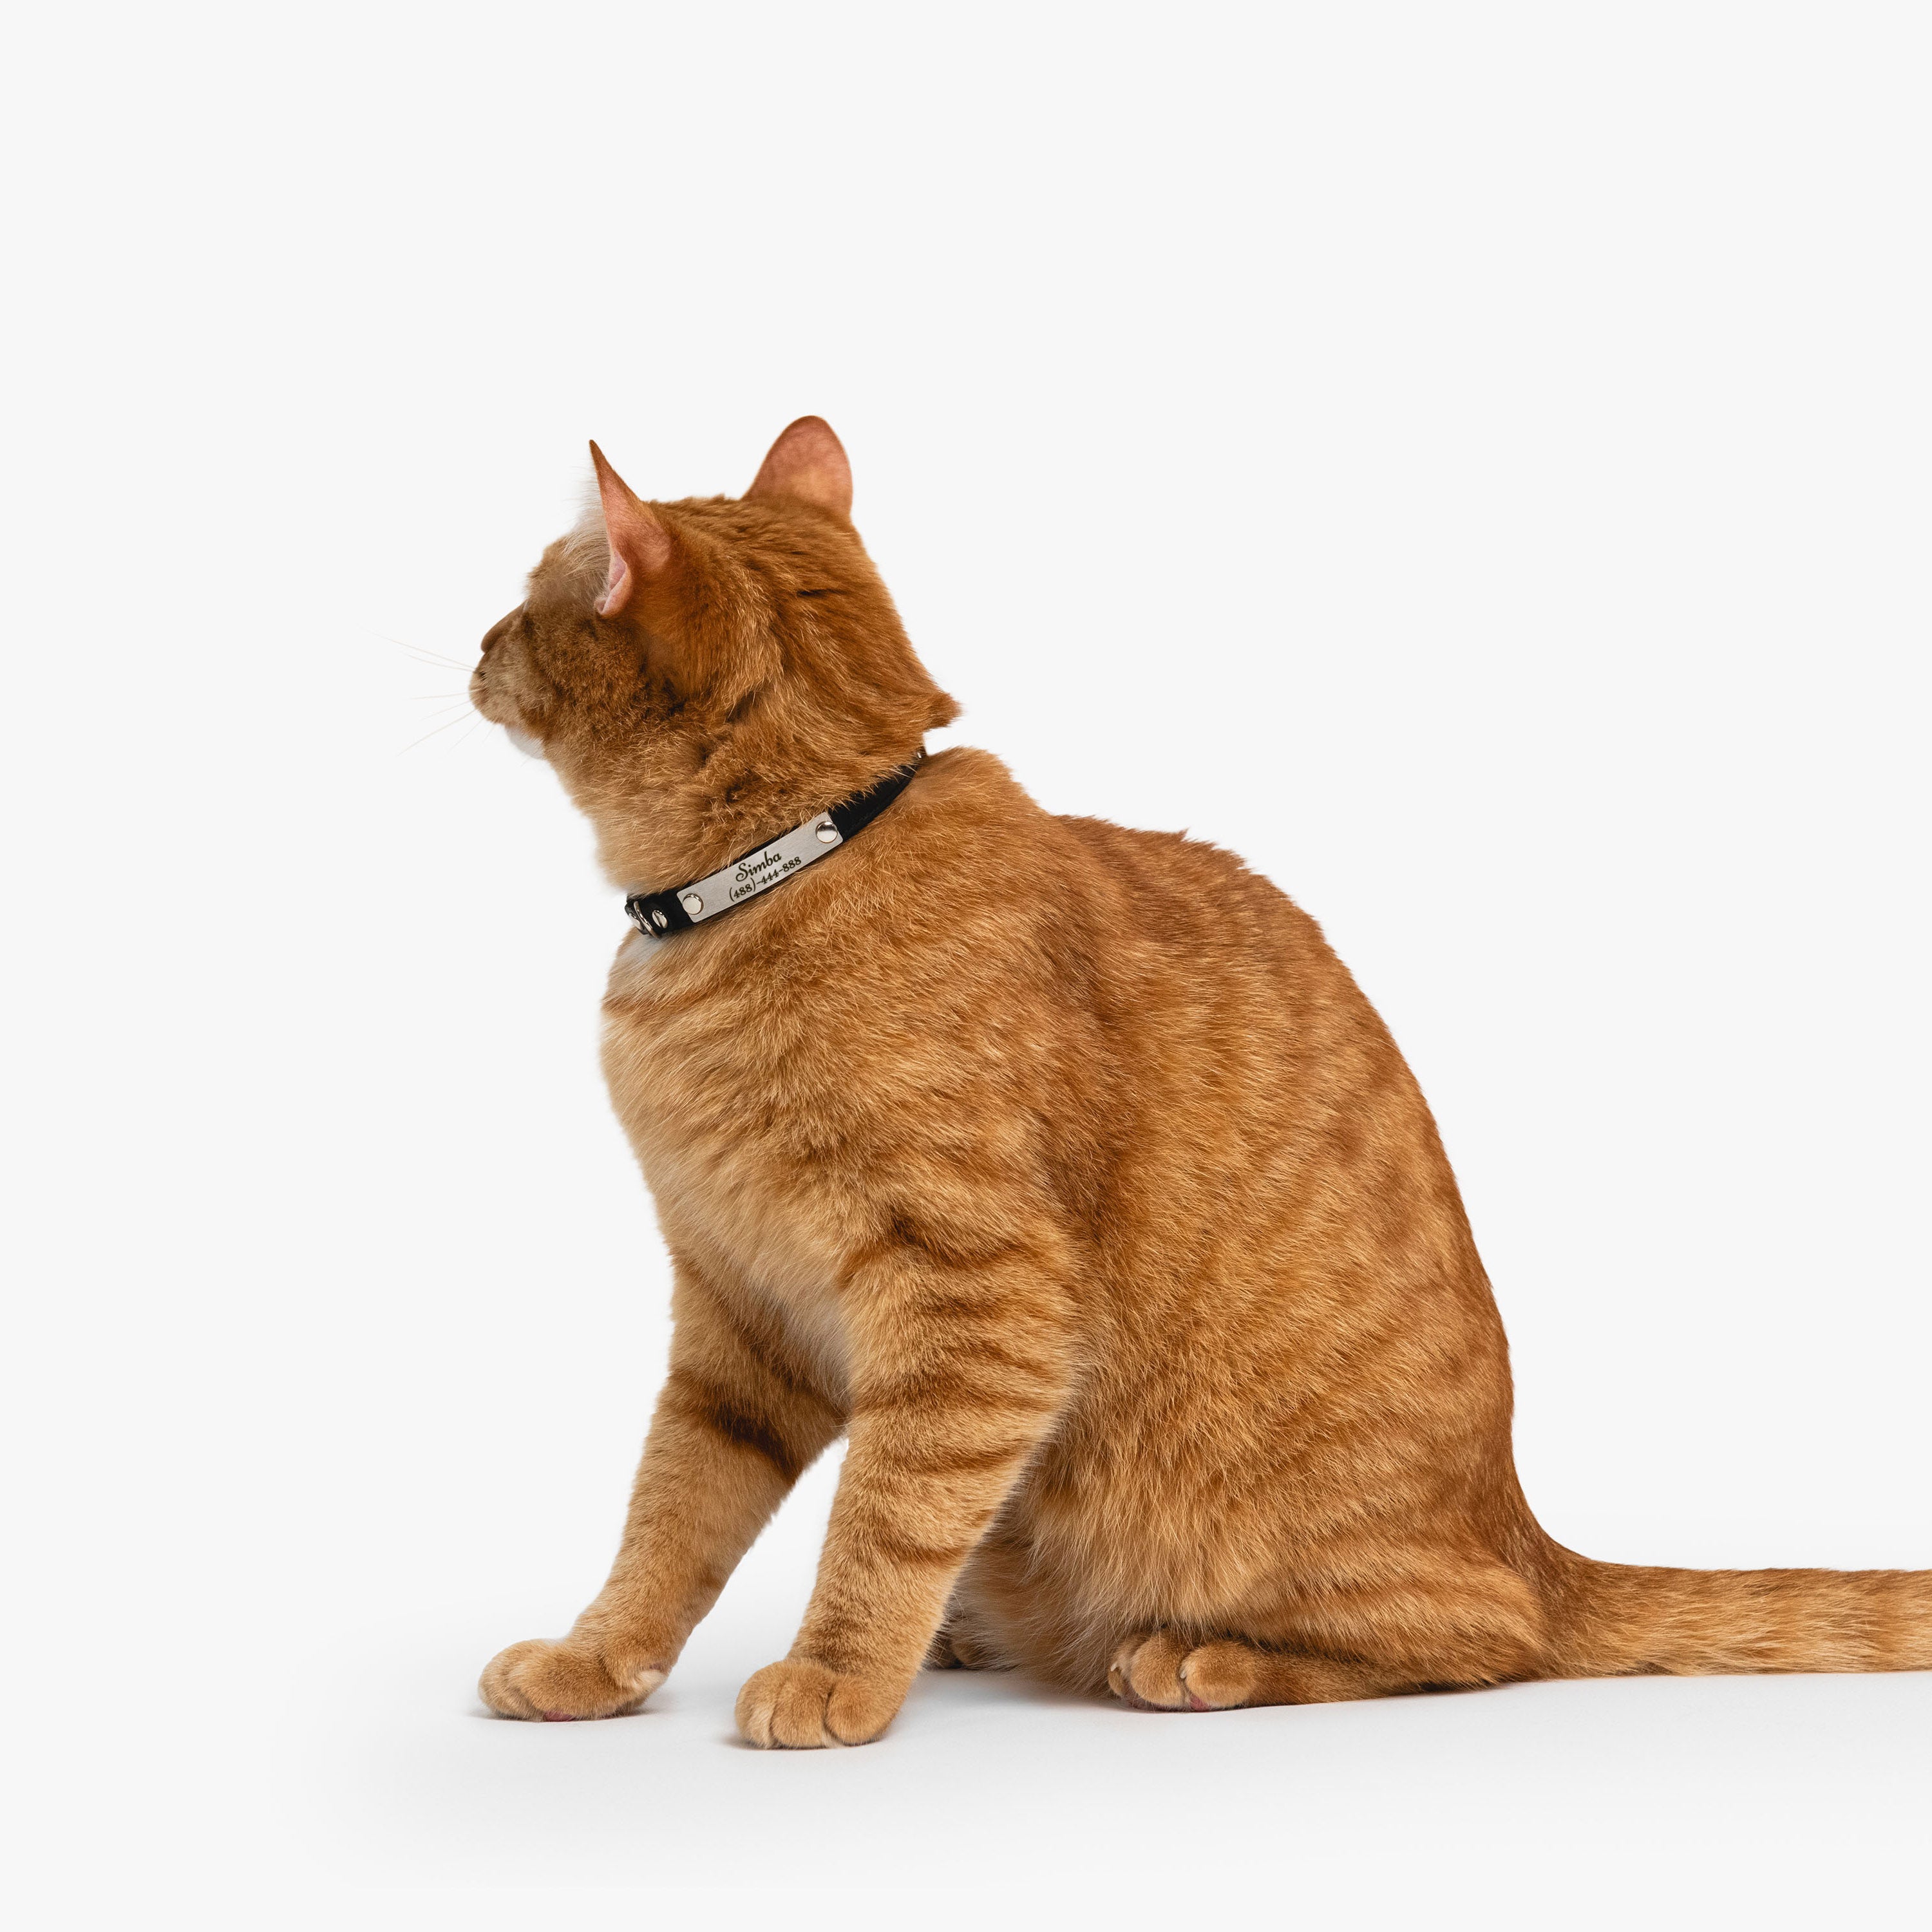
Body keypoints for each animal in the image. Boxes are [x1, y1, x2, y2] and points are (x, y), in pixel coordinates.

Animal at [472, 417, 1928, 1746]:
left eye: (534, 598)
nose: (481, 641)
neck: (797, 856)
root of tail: (1529, 1532)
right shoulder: (736, 1306)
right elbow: (673, 1512)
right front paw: (597, 1660)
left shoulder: (974, 1299)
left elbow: (885, 1512)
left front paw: (836, 1673)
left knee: (1480, 1641)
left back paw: (1195, 1657)